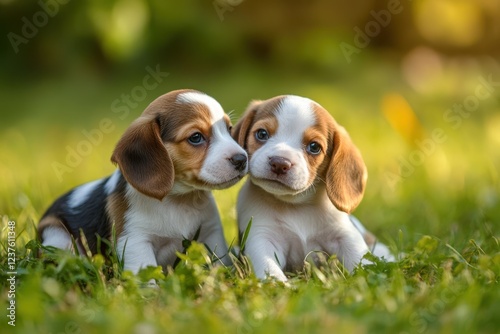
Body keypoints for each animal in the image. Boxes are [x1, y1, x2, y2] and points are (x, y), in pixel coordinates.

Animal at [39, 88, 248, 274]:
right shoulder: (135, 240)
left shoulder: (211, 232)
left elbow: (221, 262)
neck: (179, 200)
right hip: (57, 235)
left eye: (229, 129)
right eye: (196, 137)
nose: (242, 159)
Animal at [232, 94, 392, 282]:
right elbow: (269, 268)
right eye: (262, 134)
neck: (296, 206)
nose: (280, 163)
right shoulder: (260, 237)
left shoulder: (344, 235)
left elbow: (361, 260)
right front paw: (280, 284)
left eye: (314, 147)